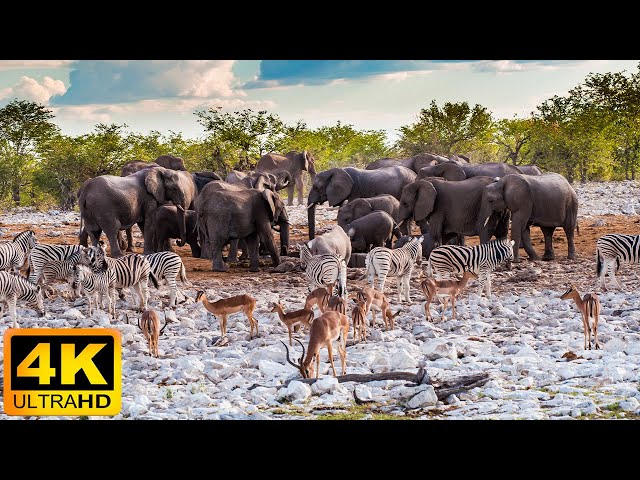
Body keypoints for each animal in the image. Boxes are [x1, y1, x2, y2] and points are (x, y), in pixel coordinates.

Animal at [79, 167, 212, 256]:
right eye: (174, 188)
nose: (179, 241)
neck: (159, 171)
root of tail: (85, 191)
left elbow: (143, 224)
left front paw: (152, 251)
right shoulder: (149, 198)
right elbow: (149, 223)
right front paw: (149, 253)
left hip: (88, 209)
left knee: (93, 231)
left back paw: (95, 255)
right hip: (102, 207)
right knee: (112, 229)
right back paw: (119, 256)